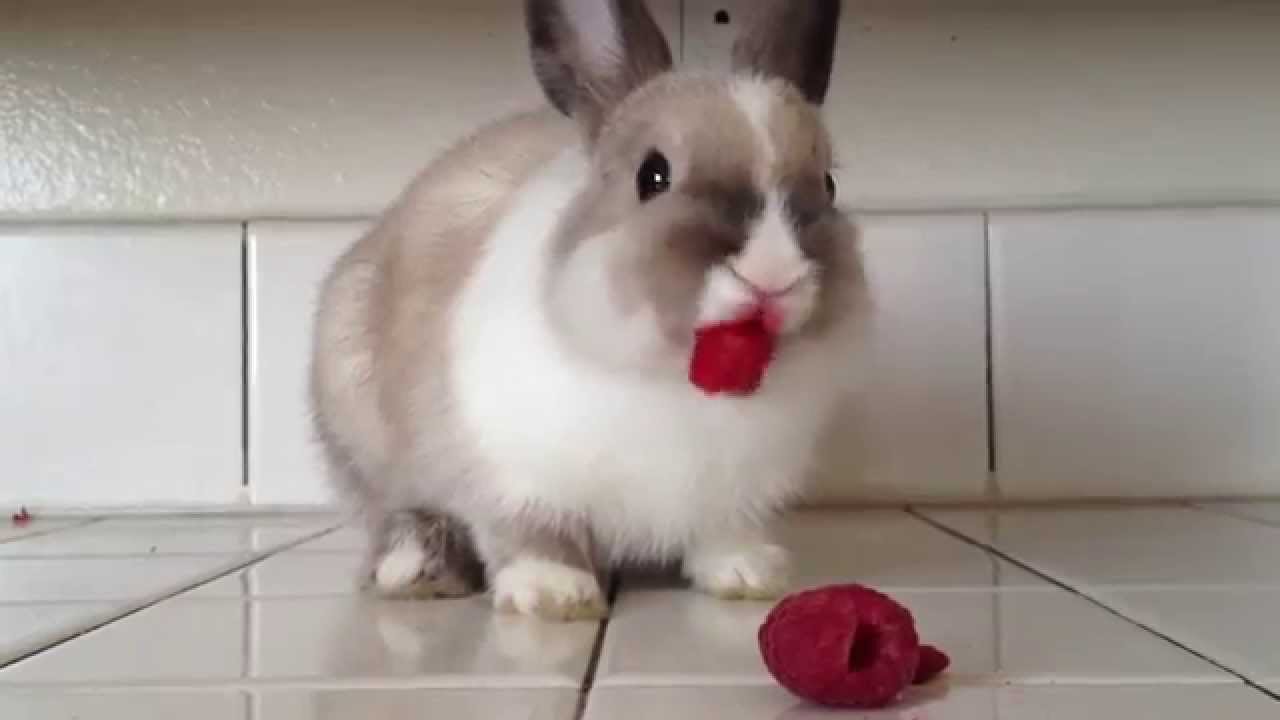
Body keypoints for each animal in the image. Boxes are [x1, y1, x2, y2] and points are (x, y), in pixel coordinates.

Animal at [309, 0, 866, 622]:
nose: (773, 273)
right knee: (396, 514)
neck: (675, 378)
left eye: (828, 184)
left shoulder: (734, 494)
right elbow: (534, 533)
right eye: (653, 175)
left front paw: (748, 575)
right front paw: (554, 593)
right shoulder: (513, 474)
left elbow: (723, 535)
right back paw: (416, 569)